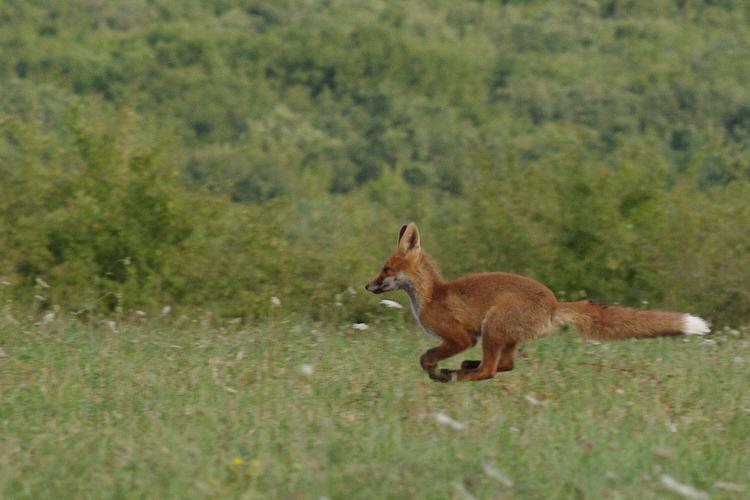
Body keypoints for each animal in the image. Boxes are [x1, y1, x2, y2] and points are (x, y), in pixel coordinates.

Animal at [368, 223, 712, 382]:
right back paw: (465, 367)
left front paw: (438, 372)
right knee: (505, 365)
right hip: (502, 336)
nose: (367, 285)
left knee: (489, 370)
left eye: (385, 269)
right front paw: (439, 371)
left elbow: (426, 357)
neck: (431, 296)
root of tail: (554, 303)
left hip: (492, 327)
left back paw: (458, 374)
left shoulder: (460, 337)